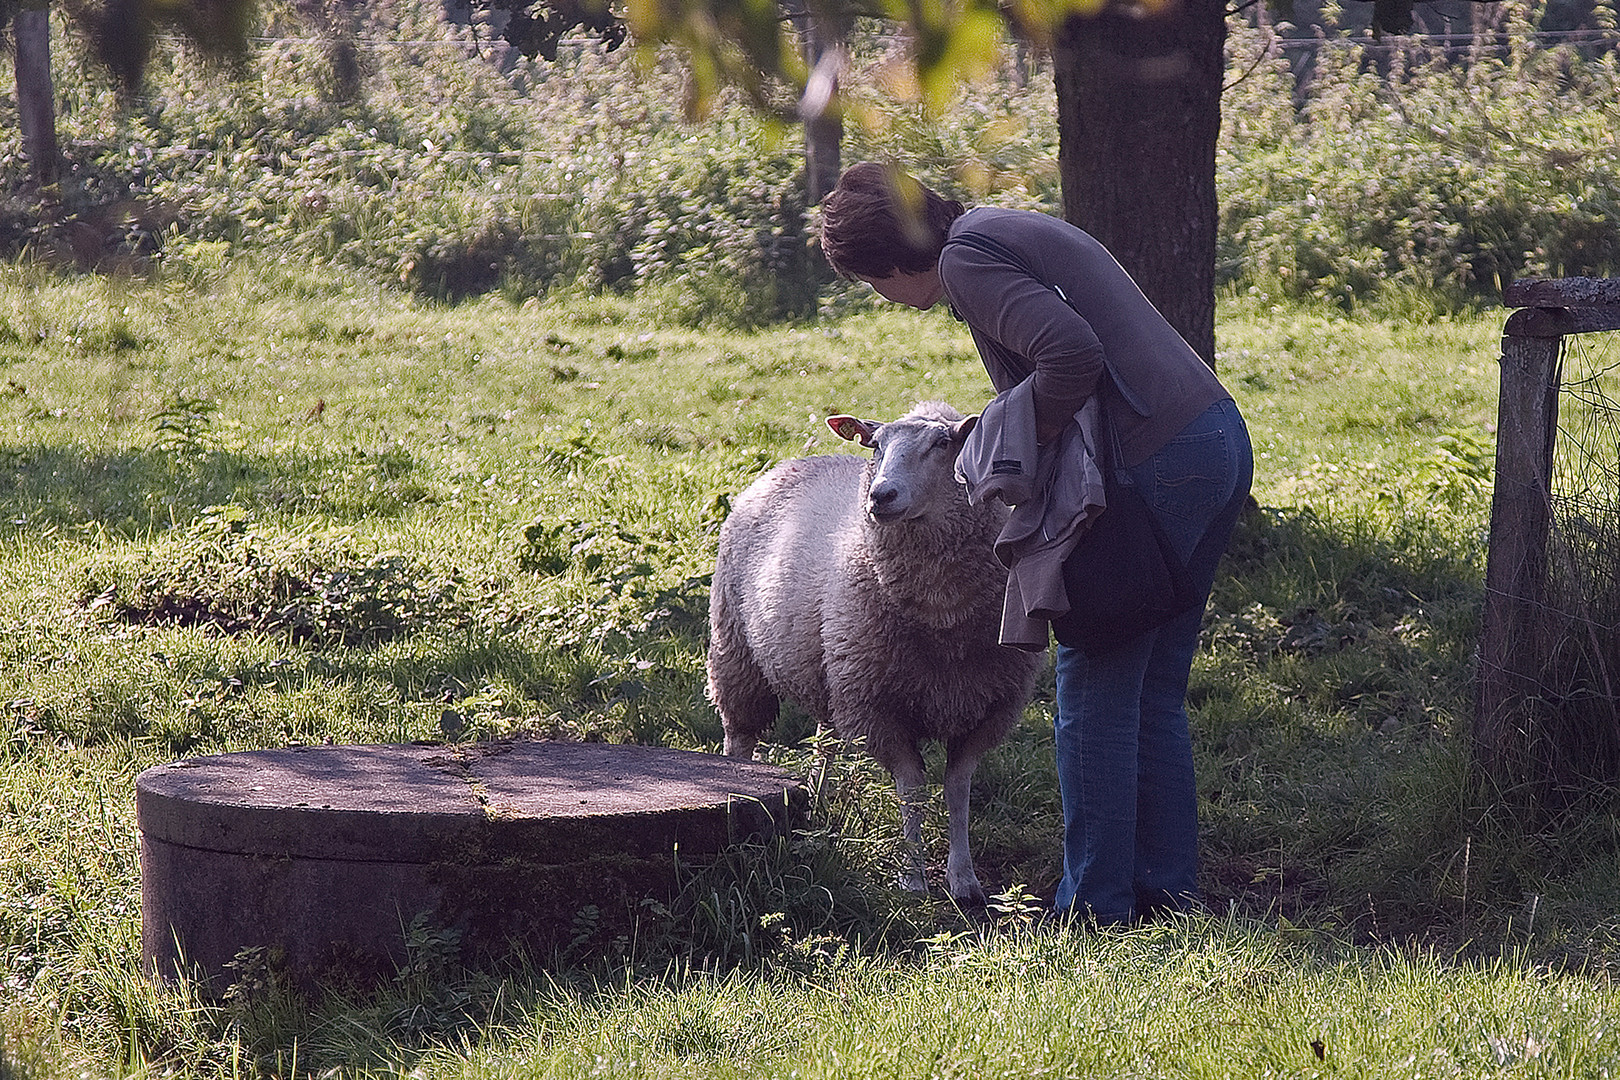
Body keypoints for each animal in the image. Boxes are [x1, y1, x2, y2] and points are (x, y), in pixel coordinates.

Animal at [706, 399, 1036, 906]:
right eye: (876, 445)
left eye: (944, 443)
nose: (880, 496)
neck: (943, 622)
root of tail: (791, 463)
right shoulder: (879, 707)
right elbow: (912, 788)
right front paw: (914, 877)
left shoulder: (987, 708)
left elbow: (957, 790)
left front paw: (964, 881)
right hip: (736, 651)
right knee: (740, 734)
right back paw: (738, 789)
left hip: (829, 668)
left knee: (823, 741)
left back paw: (818, 804)